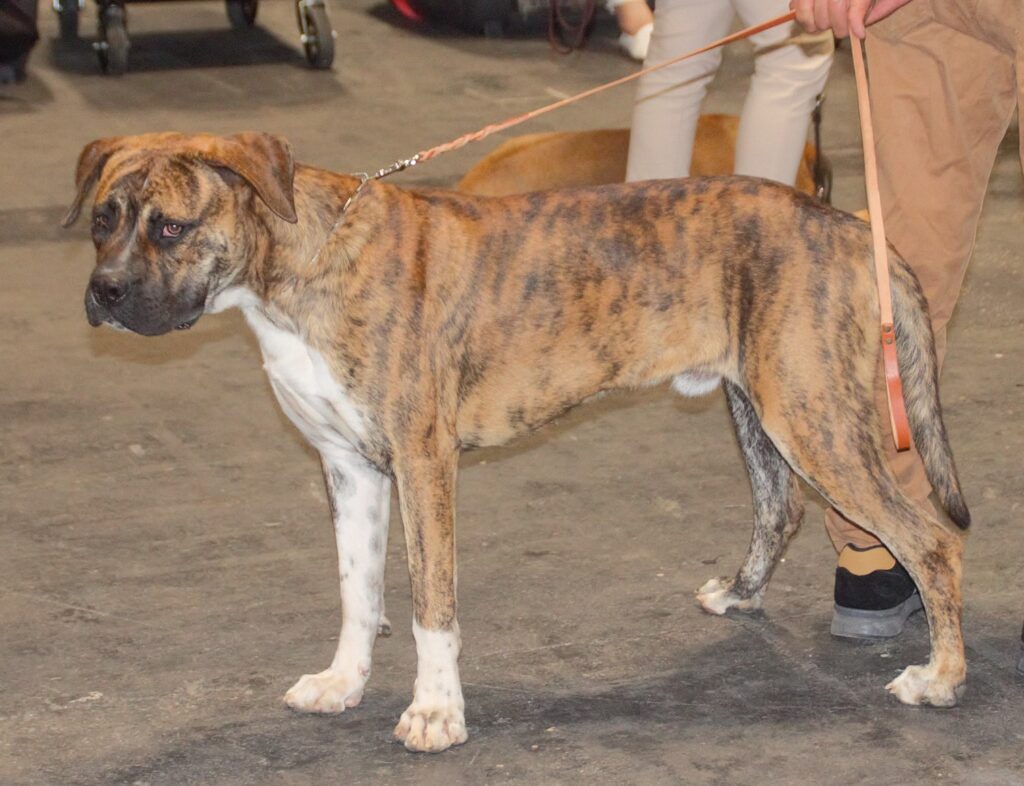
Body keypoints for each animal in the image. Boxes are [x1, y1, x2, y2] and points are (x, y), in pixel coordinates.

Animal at [68, 132, 970, 753]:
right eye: (104, 220)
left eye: (172, 228)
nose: (103, 294)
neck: (299, 268)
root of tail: (849, 225)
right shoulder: (351, 470)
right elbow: (359, 594)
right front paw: (343, 683)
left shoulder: (422, 464)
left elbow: (431, 605)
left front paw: (436, 712)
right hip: (763, 404)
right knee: (781, 508)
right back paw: (741, 595)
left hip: (813, 416)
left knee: (931, 540)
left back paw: (941, 678)